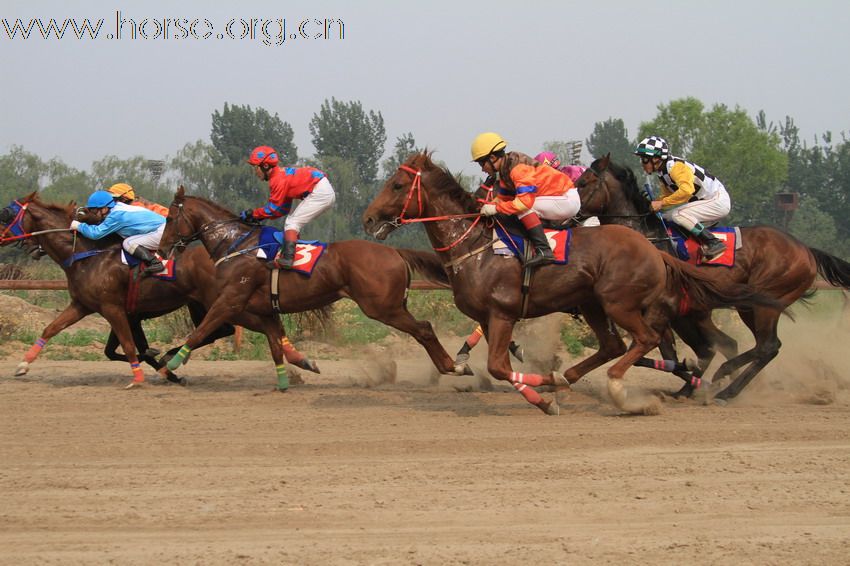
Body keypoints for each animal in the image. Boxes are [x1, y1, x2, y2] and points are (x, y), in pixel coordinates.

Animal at [0, 196, 318, 390]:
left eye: (6, 214)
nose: (29, 248)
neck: (88, 254)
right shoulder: (86, 305)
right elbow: (54, 328)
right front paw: (22, 366)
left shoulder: (114, 309)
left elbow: (130, 346)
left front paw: (146, 375)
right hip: (208, 303)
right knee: (246, 327)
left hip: (217, 302)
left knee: (232, 328)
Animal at [156, 189, 468, 384]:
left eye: (169, 218)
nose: (161, 249)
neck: (236, 245)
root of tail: (395, 251)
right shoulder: (264, 310)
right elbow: (276, 344)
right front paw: (294, 373)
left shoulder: (230, 300)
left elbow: (201, 331)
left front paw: (171, 364)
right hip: (391, 305)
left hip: (382, 307)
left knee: (424, 329)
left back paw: (453, 366)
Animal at [362, 153, 780, 414]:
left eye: (397, 185)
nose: (368, 219)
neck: (477, 246)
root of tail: (650, 247)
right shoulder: (488, 315)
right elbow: (496, 362)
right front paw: (542, 384)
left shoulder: (503, 312)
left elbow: (498, 366)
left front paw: (544, 394)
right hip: (597, 305)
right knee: (617, 345)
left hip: (621, 303)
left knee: (647, 342)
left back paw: (628, 389)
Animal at [572, 155, 850, 402]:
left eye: (583, 183)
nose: (571, 214)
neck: (644, 237)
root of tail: (806, 249)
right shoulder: (680, 313)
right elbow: (670, 353)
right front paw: (689, 378)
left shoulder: (664, 310)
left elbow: (653, 351)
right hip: (747, 306)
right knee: (751, 345)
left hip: (766, 302)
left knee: (766, 346)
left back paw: (726, 388)